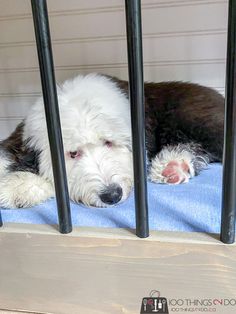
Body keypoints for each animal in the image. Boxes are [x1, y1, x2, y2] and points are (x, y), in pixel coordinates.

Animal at [0, 73, 224, 209]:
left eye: (109, 142)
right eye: (73, 153)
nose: (112, 195)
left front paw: (14, 187)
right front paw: (19, 187)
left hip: (195, 120)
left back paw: (172, 165)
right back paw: (174, 166)